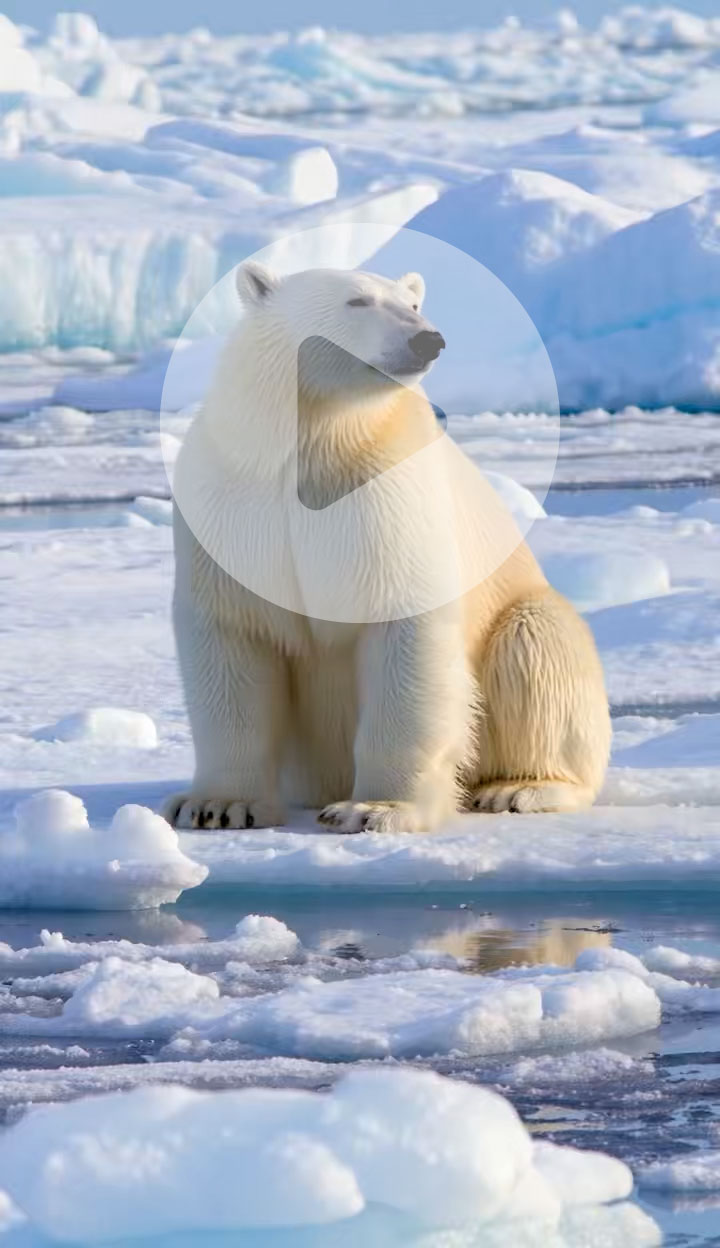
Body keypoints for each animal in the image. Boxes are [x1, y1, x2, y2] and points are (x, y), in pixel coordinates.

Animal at [163, 261, 611, 834]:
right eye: (357, 301)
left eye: (413, 304)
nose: (428, 339)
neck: (317, 437)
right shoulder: (235, 503)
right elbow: (233, 635)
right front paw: (216, 805)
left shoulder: (388, 494)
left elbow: (404, 629)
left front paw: (374, 808)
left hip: (525, 614)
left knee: (536, 650)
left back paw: (518, 787)